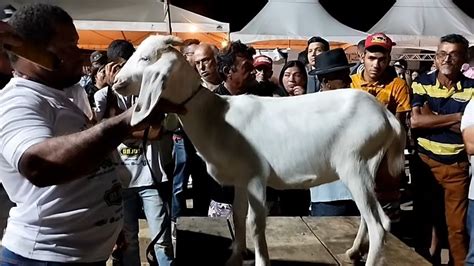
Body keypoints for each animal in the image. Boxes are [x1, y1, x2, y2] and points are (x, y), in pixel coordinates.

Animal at [113, 35, 406, 266]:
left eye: (145, 57)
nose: (116, 80)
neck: (214, 116)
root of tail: (386, 116)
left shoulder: (256, 176)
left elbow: (256, 223)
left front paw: (260, 260)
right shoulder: (241, 179)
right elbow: (238, 216)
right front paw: (234, 257)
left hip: (353, 165)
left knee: (380, 224)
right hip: (366, 165)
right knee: (368, 216)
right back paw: (354, 251)